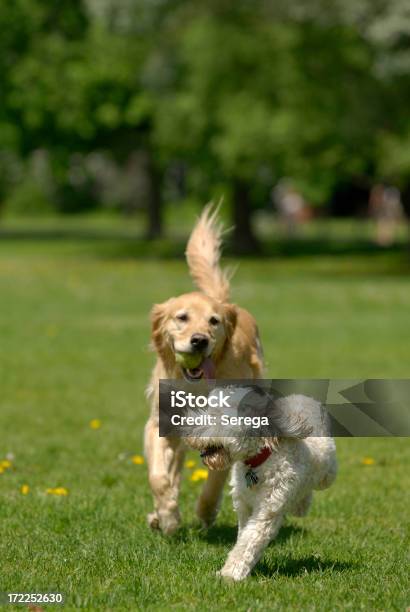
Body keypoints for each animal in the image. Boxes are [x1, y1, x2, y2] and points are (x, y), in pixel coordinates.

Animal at [187, 394, 338, 580]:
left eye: (218, 416)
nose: (187, 430)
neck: (258, 461)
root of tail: (301, 397)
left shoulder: (267, 510)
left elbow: (250, 539)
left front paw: (229, 574)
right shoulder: (243, 505)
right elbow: (243, 535)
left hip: (328, 472)